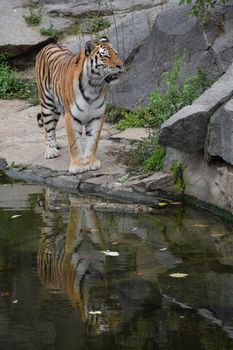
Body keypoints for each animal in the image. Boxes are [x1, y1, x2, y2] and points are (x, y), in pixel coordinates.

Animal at [35, 36, 123, 174]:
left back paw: (56, 144)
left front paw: (90, 162)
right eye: (105, 56)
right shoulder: (71, 117)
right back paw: (51, 150)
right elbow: (74, 143)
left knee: (52, 126)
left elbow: (93, 141)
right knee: (47, 128)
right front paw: (77, 166)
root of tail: (49, 45)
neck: (94, 86)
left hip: (57, 108)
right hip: (47, 103)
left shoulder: (97, 116)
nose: (121, 66)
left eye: (116, 54)